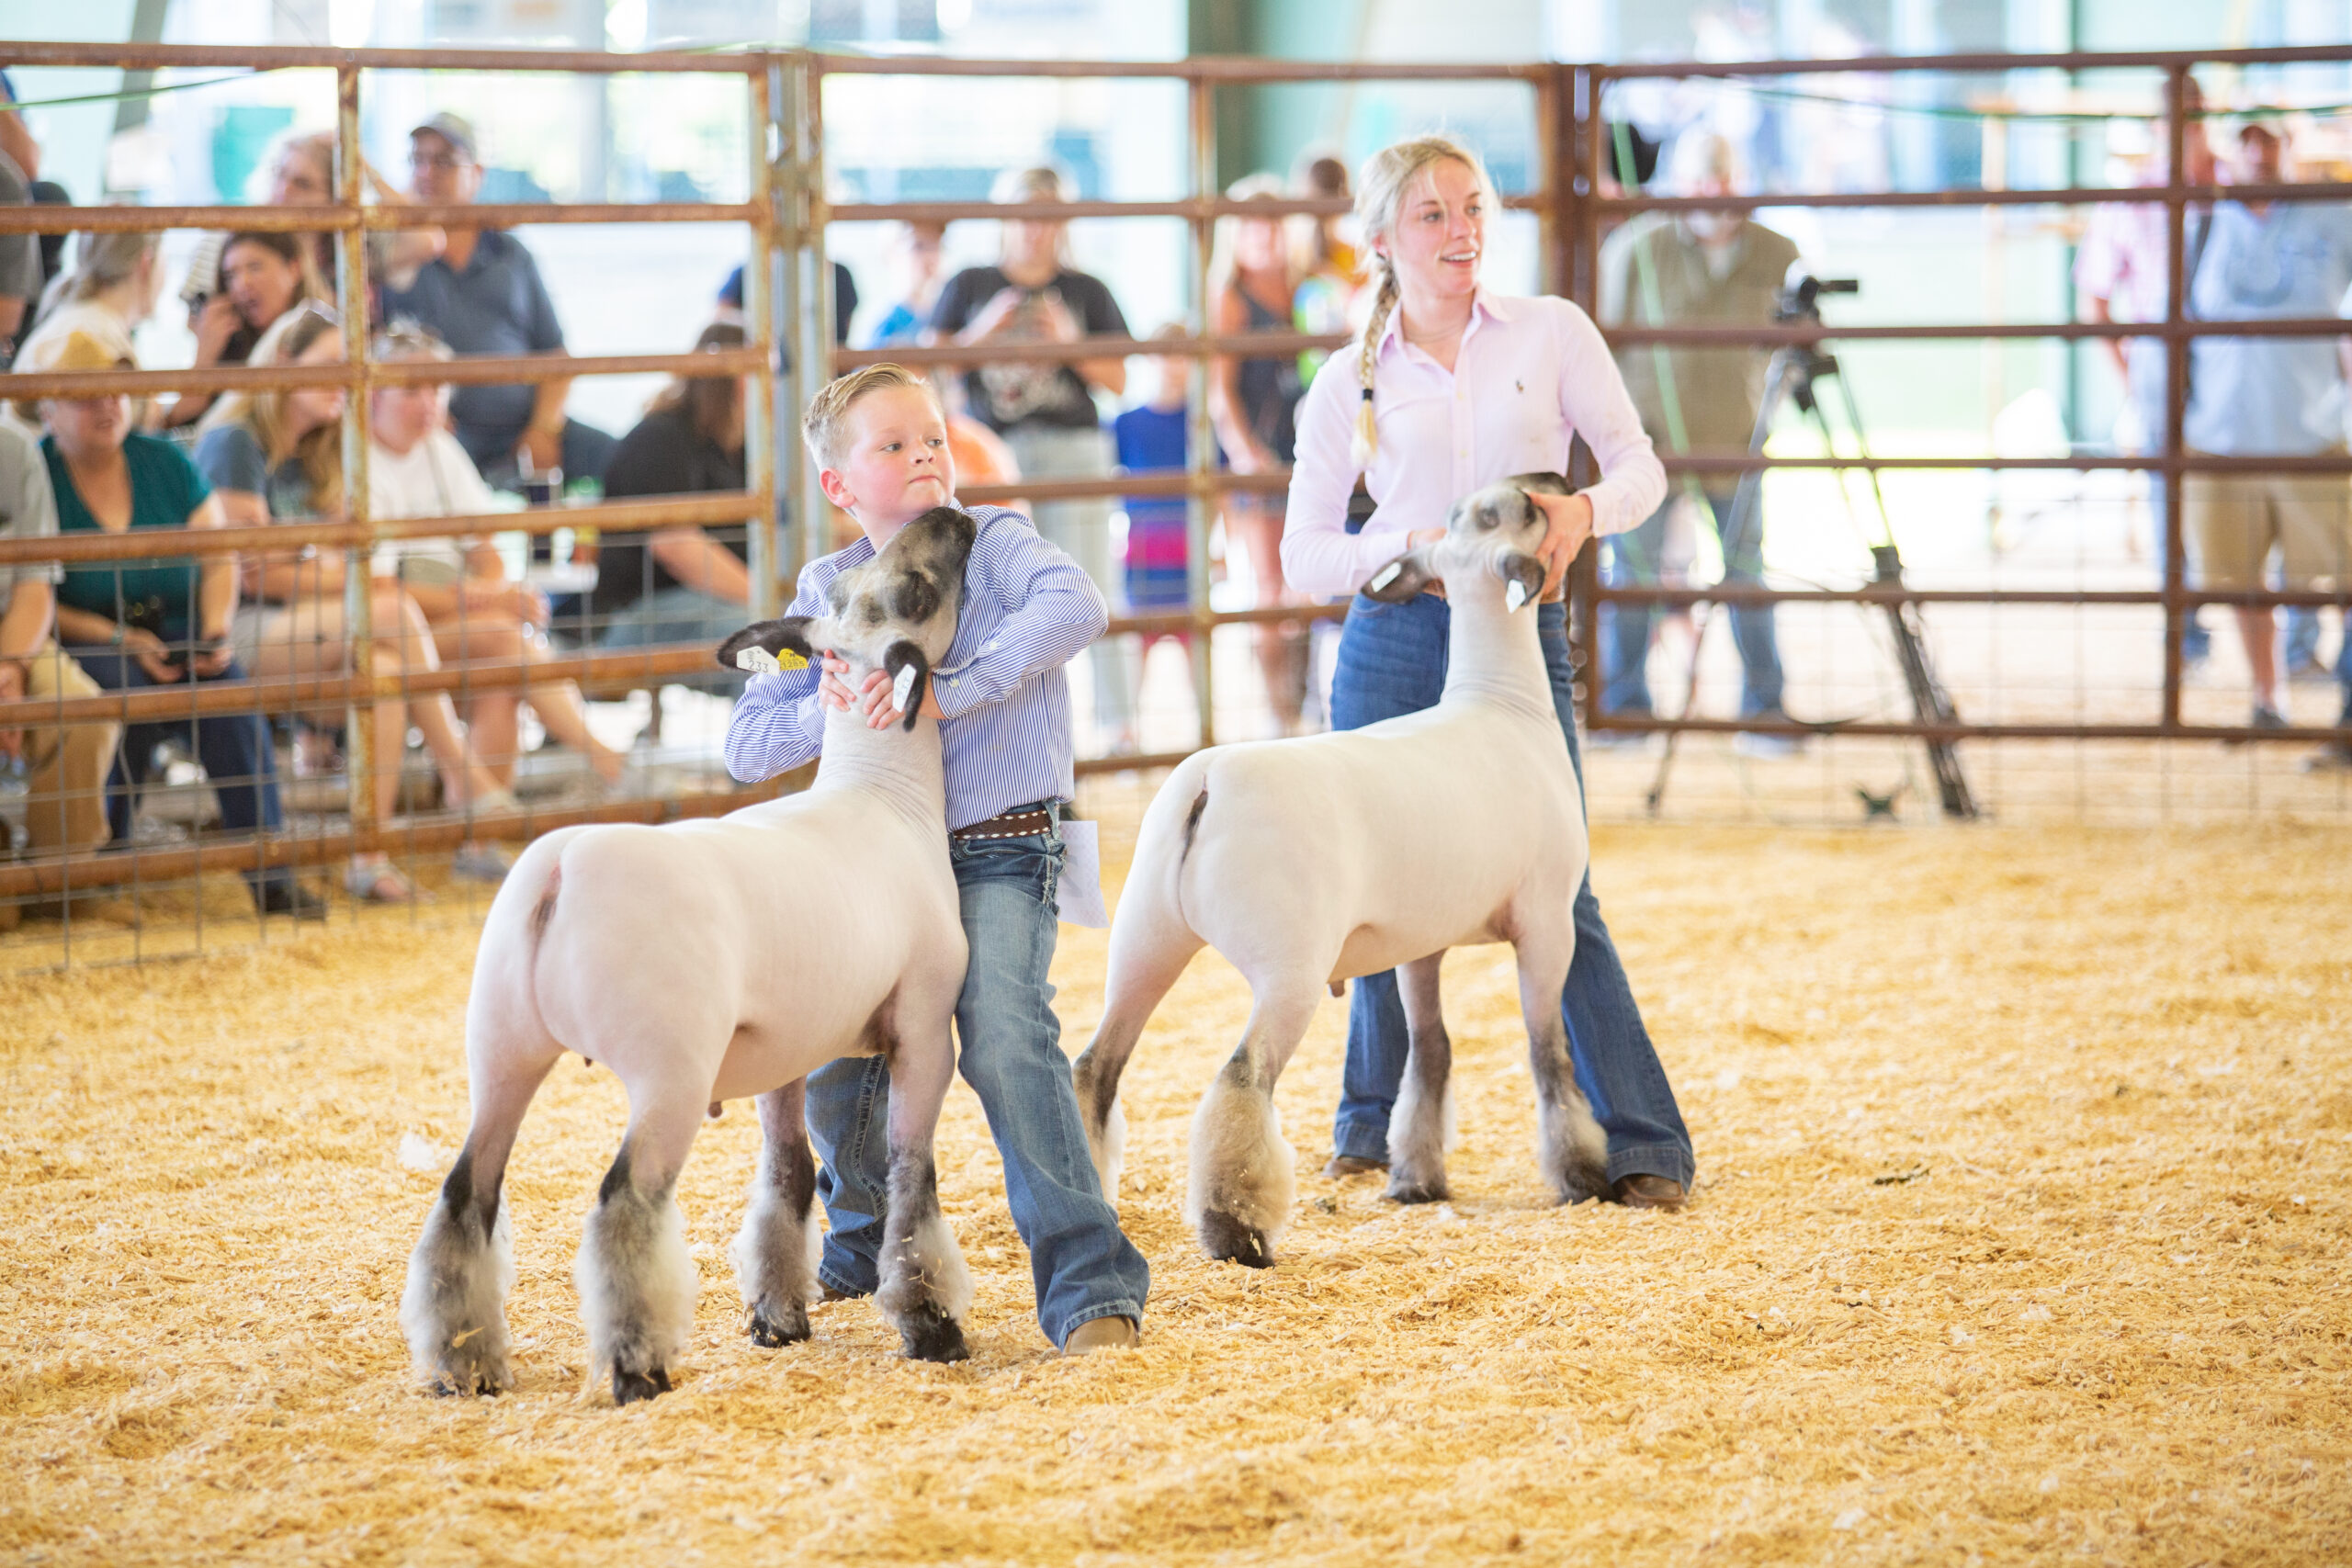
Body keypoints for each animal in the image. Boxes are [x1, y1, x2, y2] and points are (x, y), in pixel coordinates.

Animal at [399, 506, 980, 1403]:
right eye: (916, 589)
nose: (954, 516)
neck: (886, 794)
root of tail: (561, 866)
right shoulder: (923, 1029)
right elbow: (913, 1183)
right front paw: (932, 1326)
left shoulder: (785, 1050)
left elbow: (785, 1179)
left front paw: (778, 1316)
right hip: (668, 1066)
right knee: (624, 1201)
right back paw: (638, 1367)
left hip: (499, 1047)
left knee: (465, 1195)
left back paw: (465, 1365)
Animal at [1070, 475, 1611, 1267]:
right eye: (1516, 510)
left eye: (1473, 512)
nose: (1561, 482)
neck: (1501, 701)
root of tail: (1207, 780)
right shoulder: (1546, 922)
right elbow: (1550, 1056)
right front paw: (1580, 1174)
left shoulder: (1422, 940)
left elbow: (1430, 1053)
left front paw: (1417, 1178)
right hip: (1289, 966)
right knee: (1240, 1079)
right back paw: (1237, 1232)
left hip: (1143, 938)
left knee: (1095, 1068)